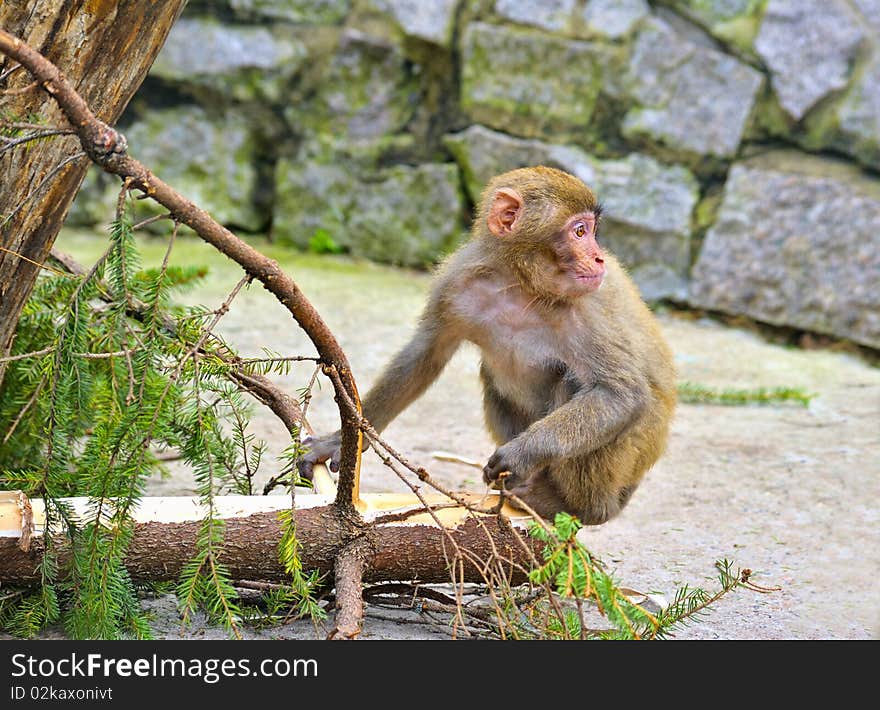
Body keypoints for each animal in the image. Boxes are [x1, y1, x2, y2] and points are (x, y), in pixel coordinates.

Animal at [300, 165, 676, 524]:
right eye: (580, 231)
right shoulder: (455, 284)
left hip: (630, 458)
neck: (520, 285)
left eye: (590, 231)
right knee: (494, 376)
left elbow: (620, 394)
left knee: (575, 382)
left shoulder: (588, 308)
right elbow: (424, 356)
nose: (599, 259)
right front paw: (340, 439)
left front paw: (522, 455)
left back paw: (577, 507)